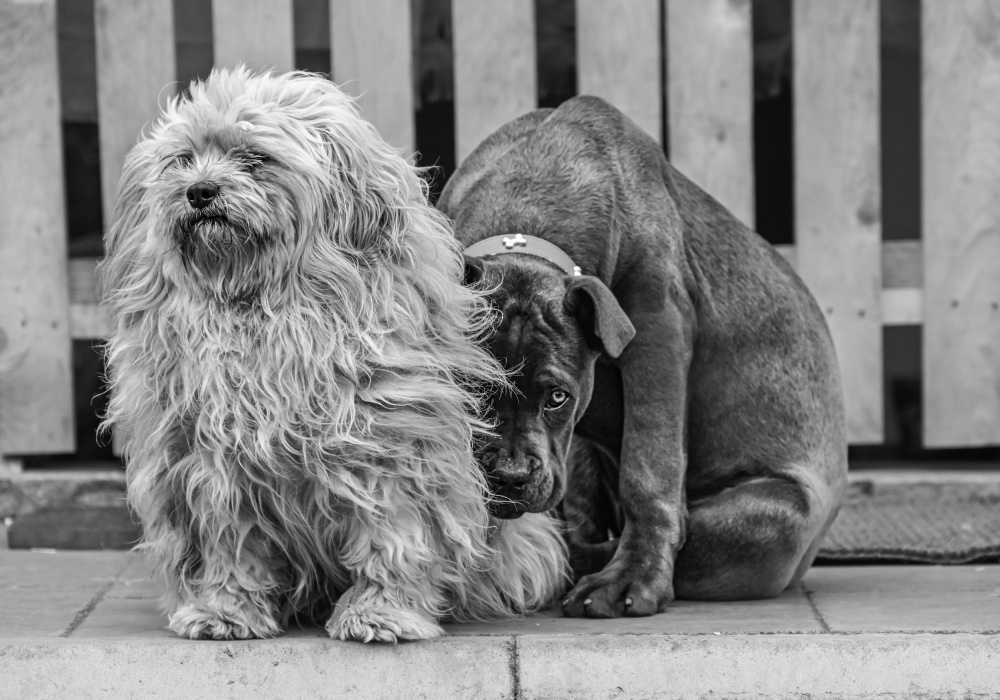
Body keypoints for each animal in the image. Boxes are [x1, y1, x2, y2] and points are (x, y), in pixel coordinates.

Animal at [101, 68, 572, 644]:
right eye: (183, 159)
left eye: (256, 157)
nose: (199, 191)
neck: (261, 307)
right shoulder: (209, 462)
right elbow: (230, 545)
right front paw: (224, 610)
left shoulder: (389, 445)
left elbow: (392, 538)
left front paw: (381, 612)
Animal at [438, 97, 844, 616]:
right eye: (473, 388)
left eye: (557, 397)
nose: (510, 478)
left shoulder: (657, 330)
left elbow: (649, 468)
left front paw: (634, 578)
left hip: (777, 520)